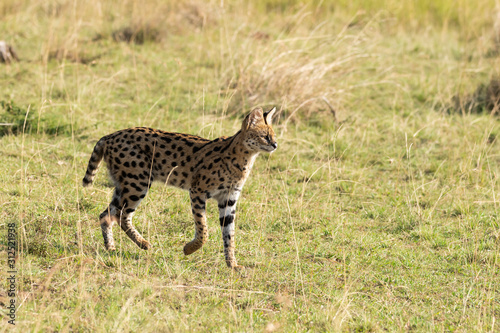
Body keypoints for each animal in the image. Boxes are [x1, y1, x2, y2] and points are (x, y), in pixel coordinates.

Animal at [82, 106, 278, 268]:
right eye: (265, 136)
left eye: (274, 135)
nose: (275, 144)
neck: (245, 158)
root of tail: (110, 136)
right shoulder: (198, 191)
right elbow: (203, 229)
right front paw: (189, 249)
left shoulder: (228, 199)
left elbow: (229, 234)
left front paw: (232, 264)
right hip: (138, 183)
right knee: (121, 215)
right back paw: (143, 243)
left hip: (125, 185)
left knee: (106, 214)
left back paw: (111, 247)